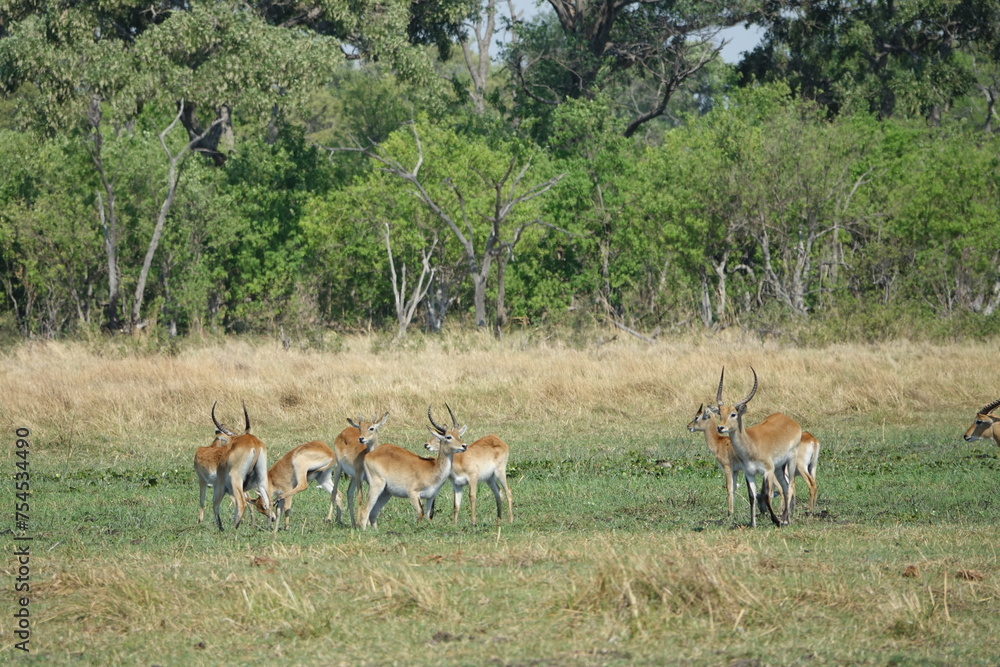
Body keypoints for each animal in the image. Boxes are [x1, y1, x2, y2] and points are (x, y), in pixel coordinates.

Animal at [212, 402, 272, 532]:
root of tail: (255, 444)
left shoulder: (221, 484)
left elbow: (215, 504)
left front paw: (221, 528)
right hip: (261, 478)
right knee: (268, 501)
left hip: (236, 479)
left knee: (241, 503)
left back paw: (233, 529)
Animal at [716, 368, 800, 528]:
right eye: (720, 413)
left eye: (733, 414)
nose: (720, 427)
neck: (751, 445)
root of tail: (789, 420)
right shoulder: (749, 473)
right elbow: (752, 496)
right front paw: (752, 523)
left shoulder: (768, 471)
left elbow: (766, 495)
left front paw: (776, 521)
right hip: (779, 467)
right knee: (786, 487)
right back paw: (786, 518)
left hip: (790, 461)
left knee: (791, 485)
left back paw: (785, 519)